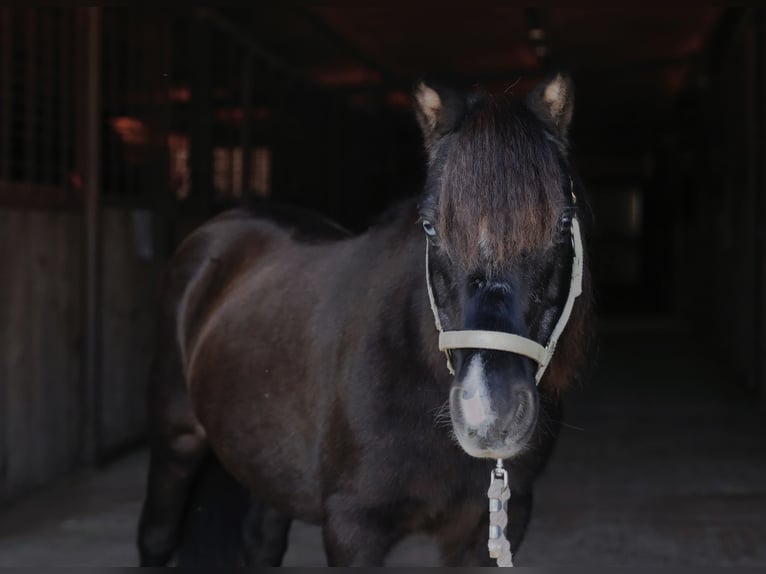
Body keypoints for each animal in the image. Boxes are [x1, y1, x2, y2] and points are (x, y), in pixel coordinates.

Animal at [137, 73, 593, 567]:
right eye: (430, 226)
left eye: (562, 222)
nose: (488, 414)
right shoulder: (352, 526)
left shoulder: (491, 525)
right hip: (176, 435)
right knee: (157, 534)